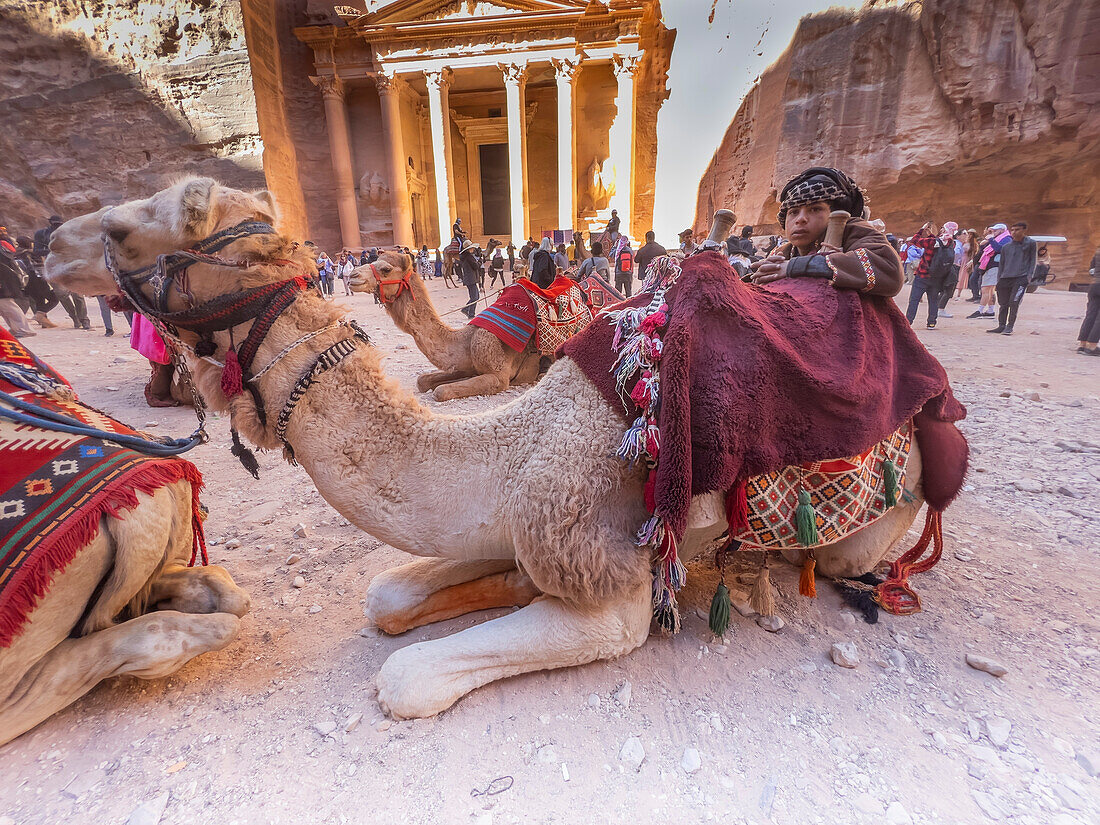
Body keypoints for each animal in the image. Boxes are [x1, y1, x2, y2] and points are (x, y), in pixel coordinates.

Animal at [352, 257, 541, 402]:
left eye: (386, 269)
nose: (353, 275)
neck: (466, 339)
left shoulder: (499, 376)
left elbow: (441, 391)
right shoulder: (464, 365)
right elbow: (422, 380)